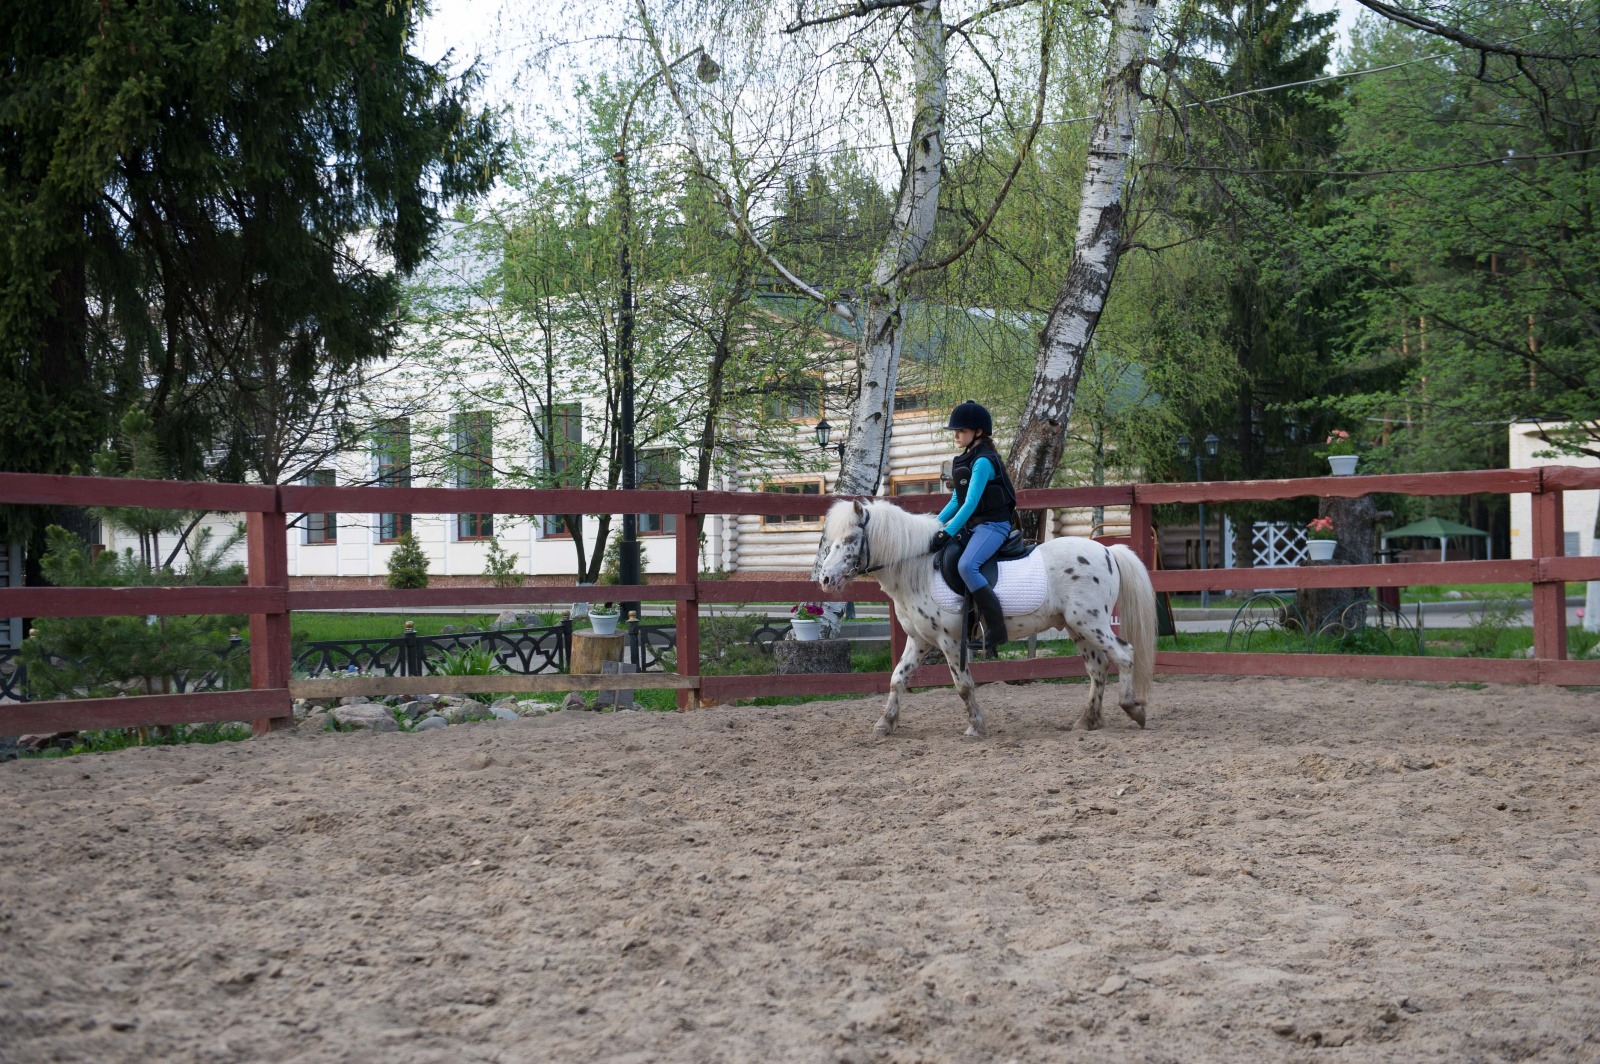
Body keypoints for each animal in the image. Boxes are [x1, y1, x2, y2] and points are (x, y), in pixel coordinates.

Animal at [815, 498, 1157, 739]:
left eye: (850, 539)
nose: (825, 579)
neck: (918, 568)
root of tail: (1108, 552)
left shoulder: (950, 641)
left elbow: (963, 685)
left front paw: (976, 727)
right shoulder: (919, 640)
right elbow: (897, 678)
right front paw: (885, 724)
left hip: (1090, 623)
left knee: (1125, 655)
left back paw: (1134, 710)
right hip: (1077, 627)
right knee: (1097, 668)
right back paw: (1088, 720)